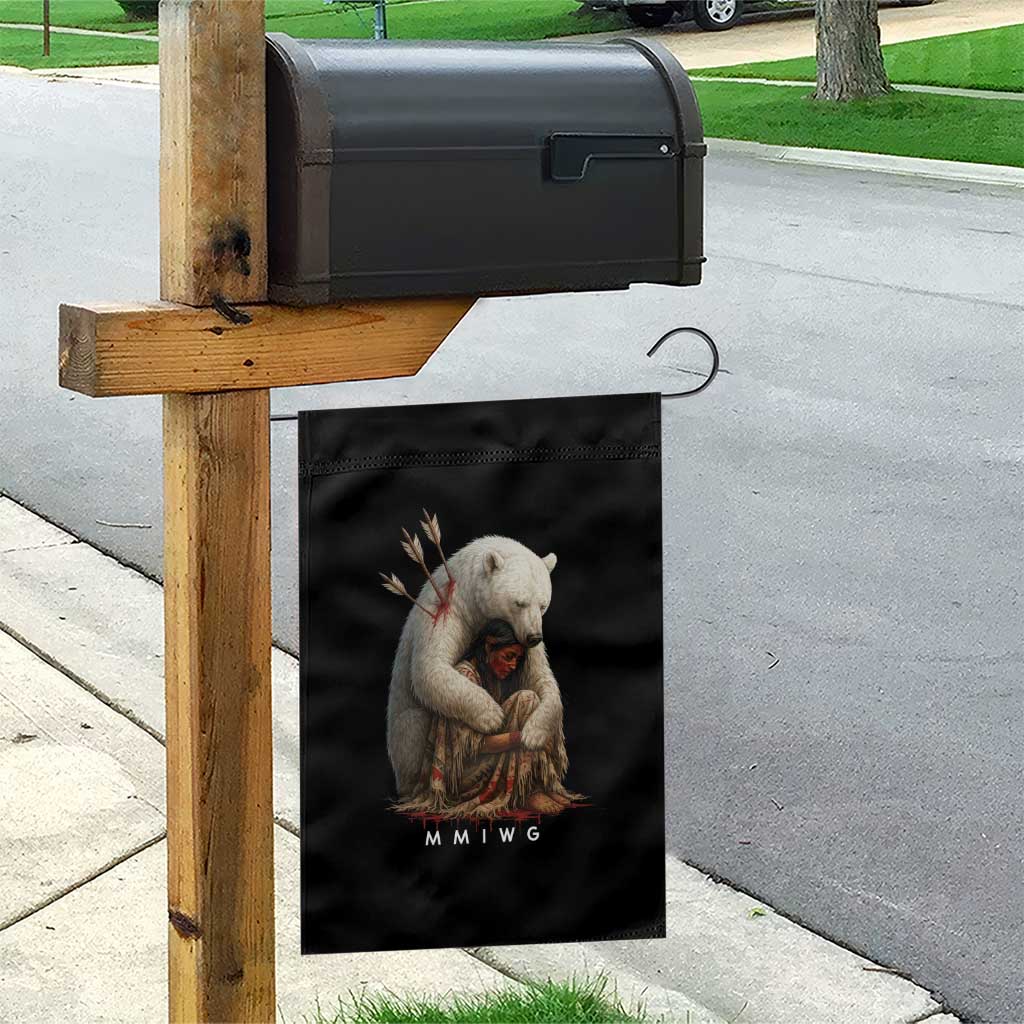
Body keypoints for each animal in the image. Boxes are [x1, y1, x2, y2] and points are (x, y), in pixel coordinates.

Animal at [385, 534, 563, 800]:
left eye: (543, 605)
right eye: (519, 602)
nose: (534, 637)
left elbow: (543, 680)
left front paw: (534, 733)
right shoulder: (447, 610)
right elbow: (431, 667)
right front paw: (492, 716)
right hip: (404, 735)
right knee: (415, 725)